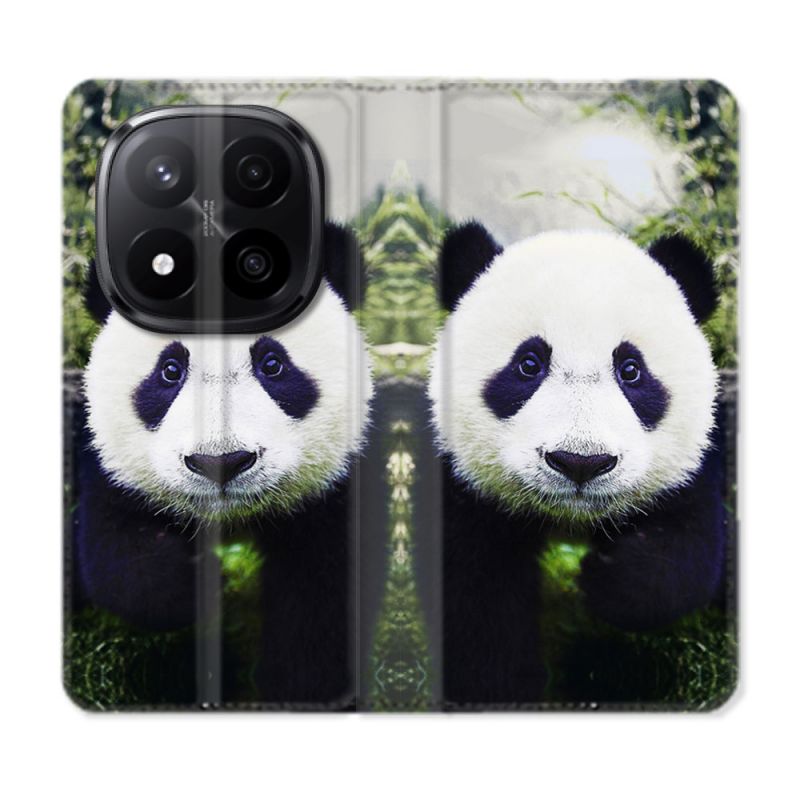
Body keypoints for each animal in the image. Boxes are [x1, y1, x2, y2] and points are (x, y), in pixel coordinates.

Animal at [72, 223, 373, 706]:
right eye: (170, 370)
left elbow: (321, 604)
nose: (221, 463)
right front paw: (195, 585)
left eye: (273, 364)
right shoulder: (110, 470)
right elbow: (119, 557)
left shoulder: (334, 493)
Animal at [428, 222, 727, 706]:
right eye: (528, 364)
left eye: (631, 370)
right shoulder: (464, 489)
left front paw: (608, 578)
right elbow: (474, 603)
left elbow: (686, 553)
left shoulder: (691, 466)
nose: (580, 463)